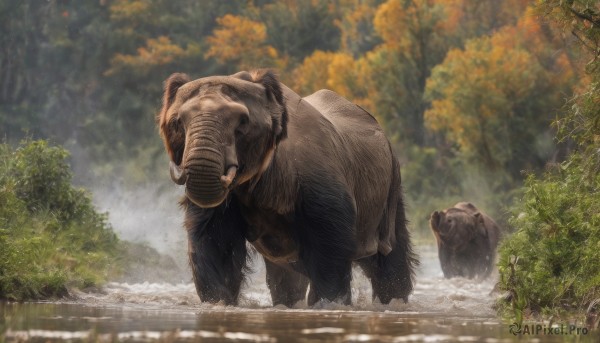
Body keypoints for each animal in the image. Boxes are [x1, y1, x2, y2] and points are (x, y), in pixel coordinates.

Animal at [157, 70, 414, 306]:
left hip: (390, 188)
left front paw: (328, 304)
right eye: (177, 122)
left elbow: (329, 247)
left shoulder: (318, 181)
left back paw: (393, 301)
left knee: (388, 256)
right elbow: (217, 244)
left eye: (243, 121)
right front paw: (218, 303)